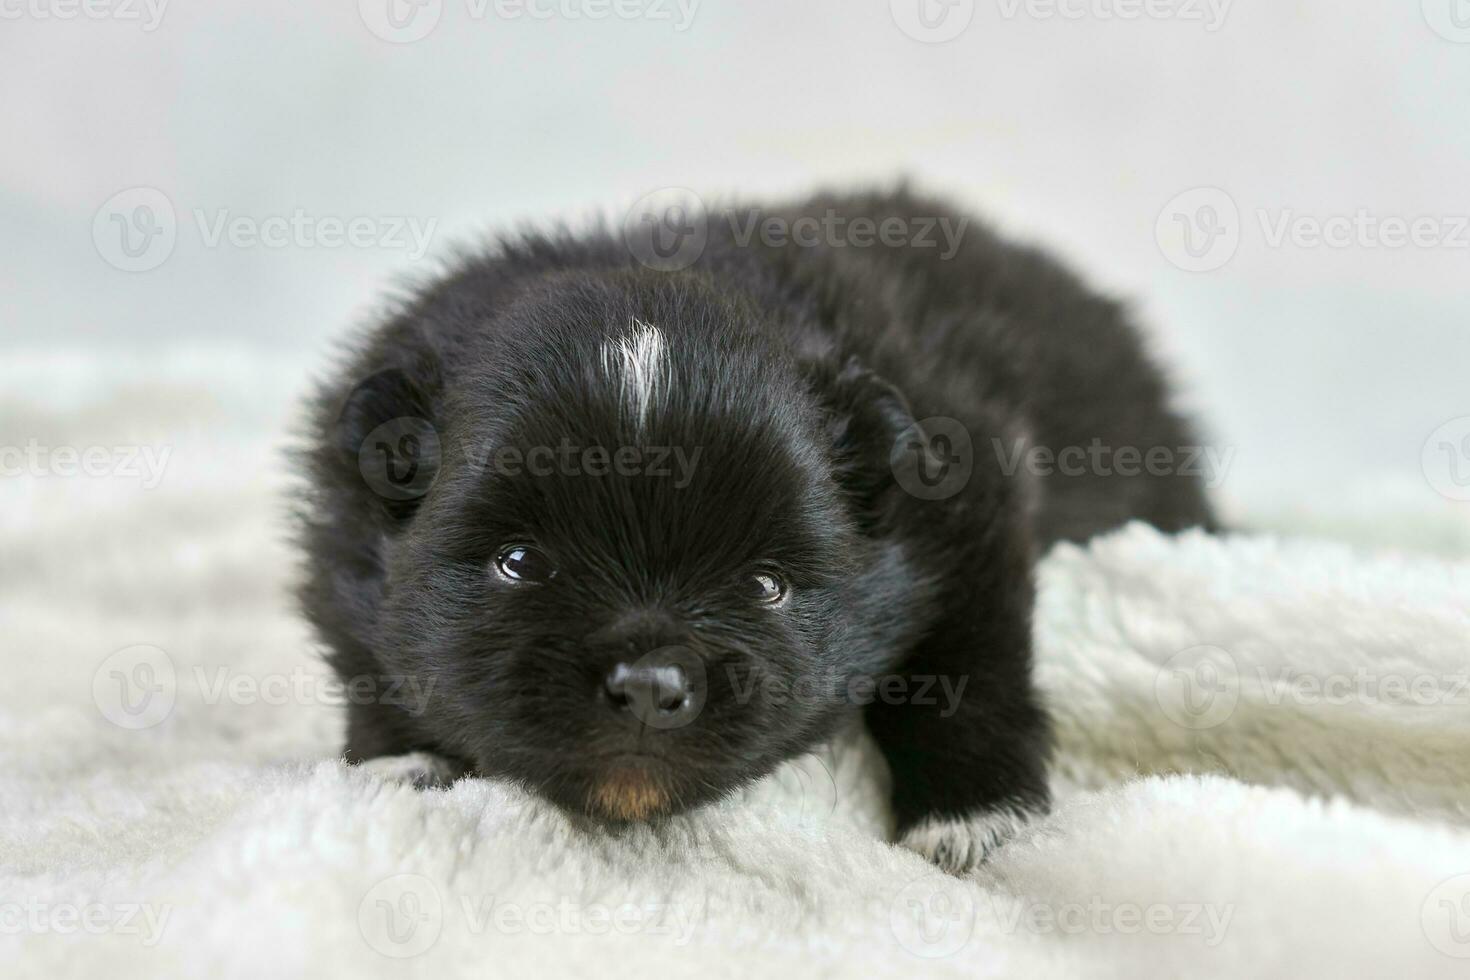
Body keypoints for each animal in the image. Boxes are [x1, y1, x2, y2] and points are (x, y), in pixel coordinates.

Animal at [295, 188, 1217, 869]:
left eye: (766, 584)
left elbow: (969, 667)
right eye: (518, 561)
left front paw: (973, 813)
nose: (651, 686)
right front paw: (403, 760)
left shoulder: (974, 501)